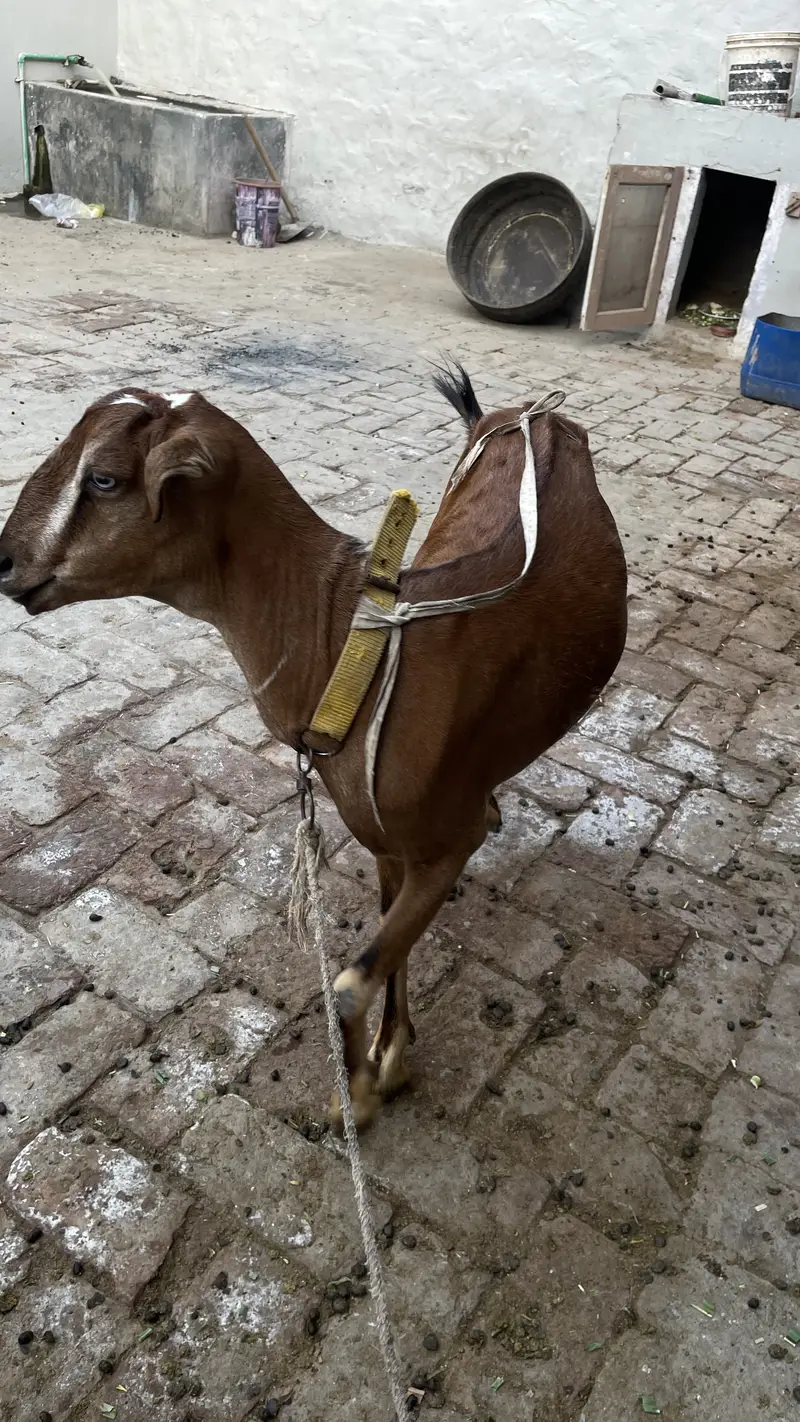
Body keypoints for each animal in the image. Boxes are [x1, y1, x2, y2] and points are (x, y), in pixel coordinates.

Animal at [0, 370, 627, 1128]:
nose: (1, 561)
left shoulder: (445, 842)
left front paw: (357, 1093)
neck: (358, 647)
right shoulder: (386, 838)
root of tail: (537, 415)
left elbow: (353, 981)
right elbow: (385, 946)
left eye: (103, 478)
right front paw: (389, 1056)